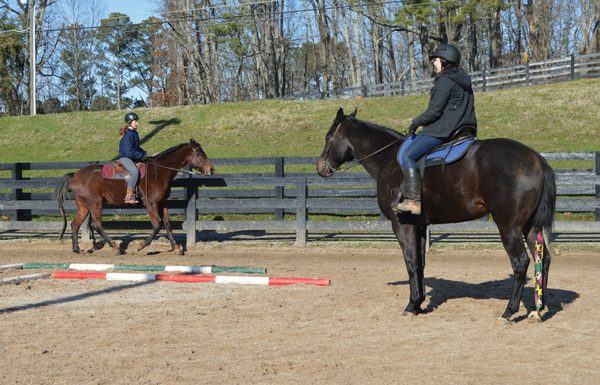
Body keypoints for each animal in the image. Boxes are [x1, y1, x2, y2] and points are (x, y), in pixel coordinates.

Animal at [53, 139, 213, 255]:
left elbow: (167, 224)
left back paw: (77, 249)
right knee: (96, 224)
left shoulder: (162, 203)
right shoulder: (150, 204)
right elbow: (157, 225)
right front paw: (141, 246)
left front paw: (177, 248)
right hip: (95, 204)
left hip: (84, 206)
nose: (211, 169)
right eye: (201, 154)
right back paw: (115, 247)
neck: (158, 172)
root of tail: (75, 175)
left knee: (75, 225)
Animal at [316, 108, 556, 324]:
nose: (320, 168)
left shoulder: (402, 225)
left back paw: (509, 311)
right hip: (530, 227)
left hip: (509, 227)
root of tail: (537, 160)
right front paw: (419, 303)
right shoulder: (420, 225)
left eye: (328, 137)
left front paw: (412, 305)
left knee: (521, 262)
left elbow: (411, 262)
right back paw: (538, 310)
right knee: (543, 260)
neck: (389, 160)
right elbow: (420, 263)